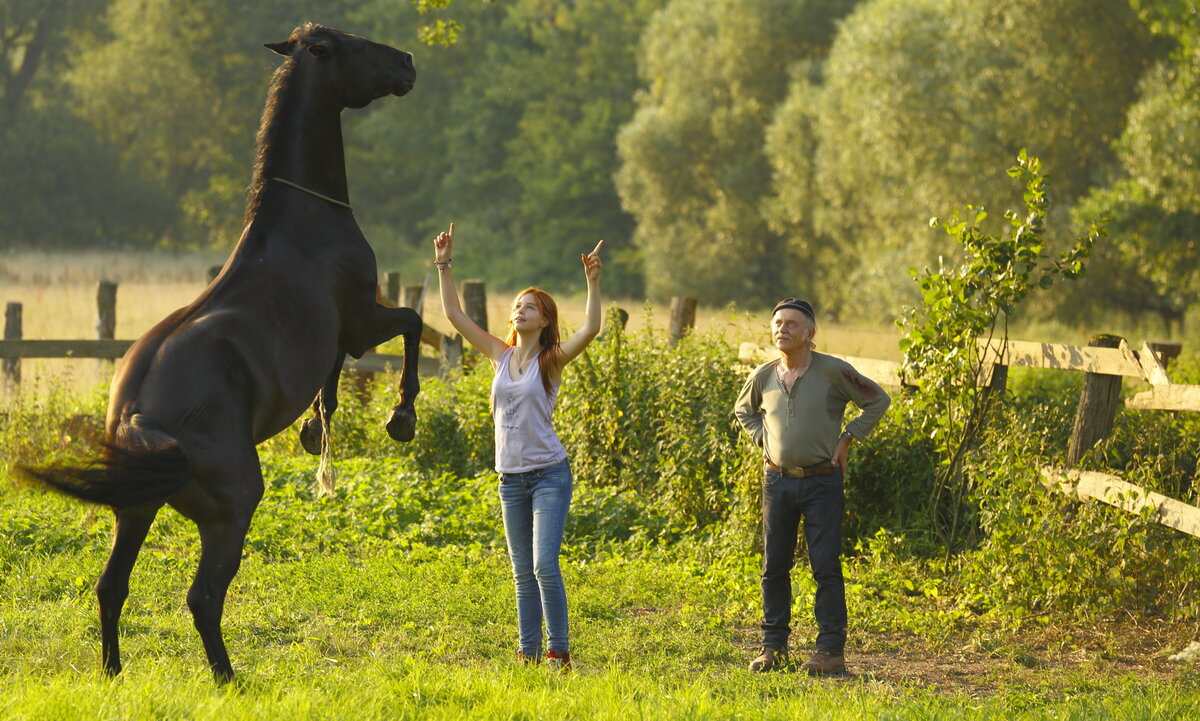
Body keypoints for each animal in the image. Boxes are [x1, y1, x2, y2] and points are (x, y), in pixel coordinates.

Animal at [19, 25, 422, 681]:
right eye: (354, 44)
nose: (407, 63)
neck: (303, 221)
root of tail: (138, 416)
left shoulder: (338, 336)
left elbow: (332, 378)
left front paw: (316, 429)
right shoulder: (363, 319)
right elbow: (412, 324)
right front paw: (401, 415)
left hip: (135, 511)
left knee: (110, 588)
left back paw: (114, 672)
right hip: (231, 508)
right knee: (203, 597)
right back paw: (230, 680)